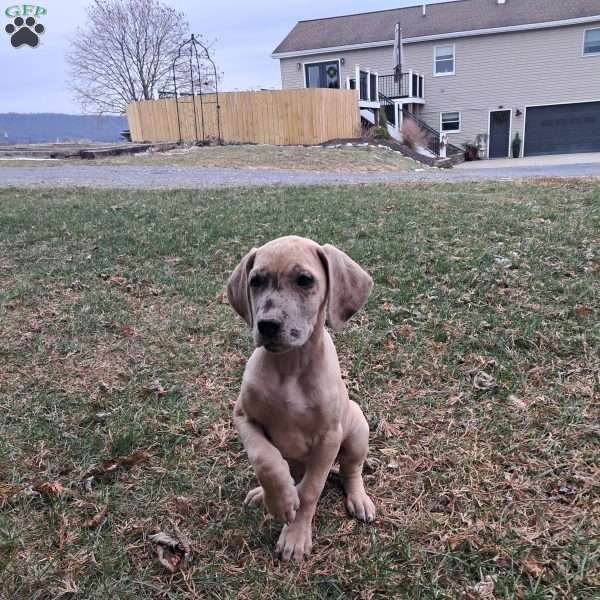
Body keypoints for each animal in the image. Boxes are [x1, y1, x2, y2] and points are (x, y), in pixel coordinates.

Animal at [229, 236, 376, 564]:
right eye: (255, 281)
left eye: (305, 280)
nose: (267, 325)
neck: (290, 367)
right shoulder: (244, 417)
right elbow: (265, 459)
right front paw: (280, 502)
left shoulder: (328, 439)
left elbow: (310, 491)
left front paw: (295, 536)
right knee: (290, 471)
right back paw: (265, 494)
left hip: (357, 432)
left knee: (351, 470)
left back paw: (358, 498)